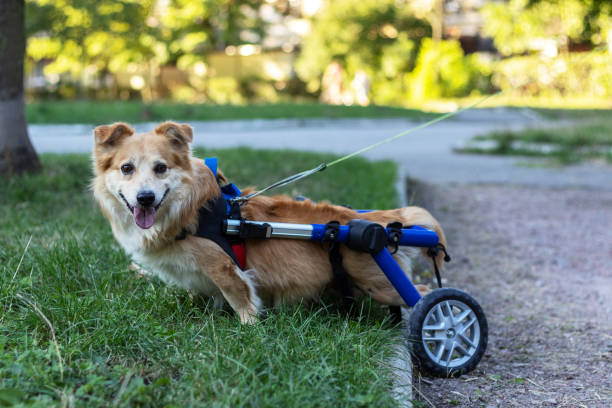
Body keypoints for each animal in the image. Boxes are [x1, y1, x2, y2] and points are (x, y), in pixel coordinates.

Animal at [92, 120, 444, 322]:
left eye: (161, 168)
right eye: (126, 168)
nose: (145, 198)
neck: (190, 212)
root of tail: (376, 223)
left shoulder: (224, 268)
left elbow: (240, 299)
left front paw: (248, 328)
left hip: (382, 284)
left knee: (424, 293)